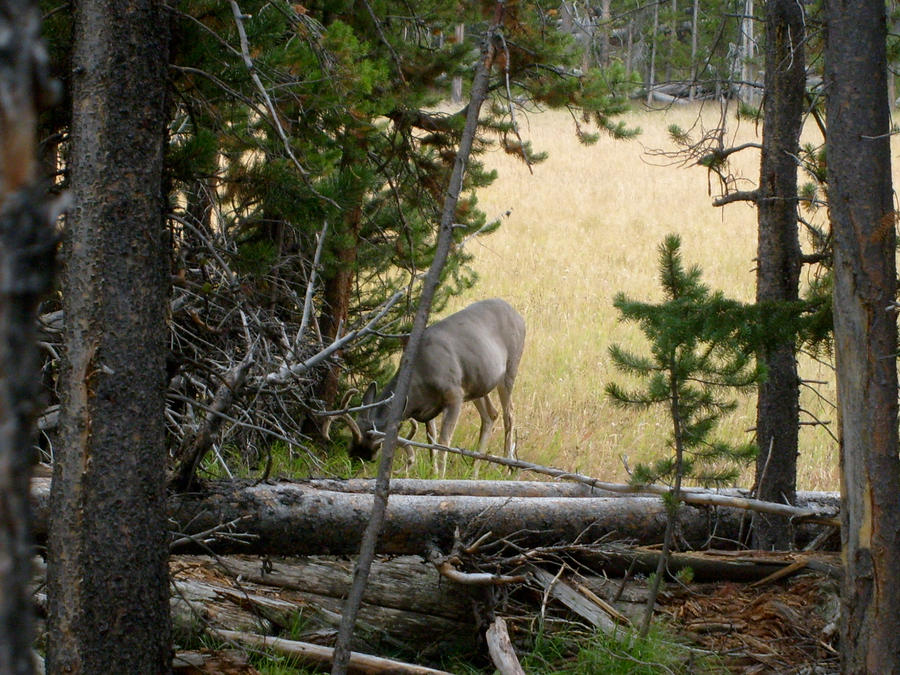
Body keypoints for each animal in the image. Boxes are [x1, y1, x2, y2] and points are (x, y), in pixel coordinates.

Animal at [334, 298, 524, 478]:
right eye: (350, 450)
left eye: (372, 457)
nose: (351, 472)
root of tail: (518, 315)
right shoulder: (429, 407)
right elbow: (431, 442)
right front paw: (433, 474)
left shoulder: (454, 394)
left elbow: (443, 442)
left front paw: (440, 476)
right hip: (478, 383)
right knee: (491, 414)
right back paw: (474, 472)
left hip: (510, 367)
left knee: (509, 414)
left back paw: (508, 469)